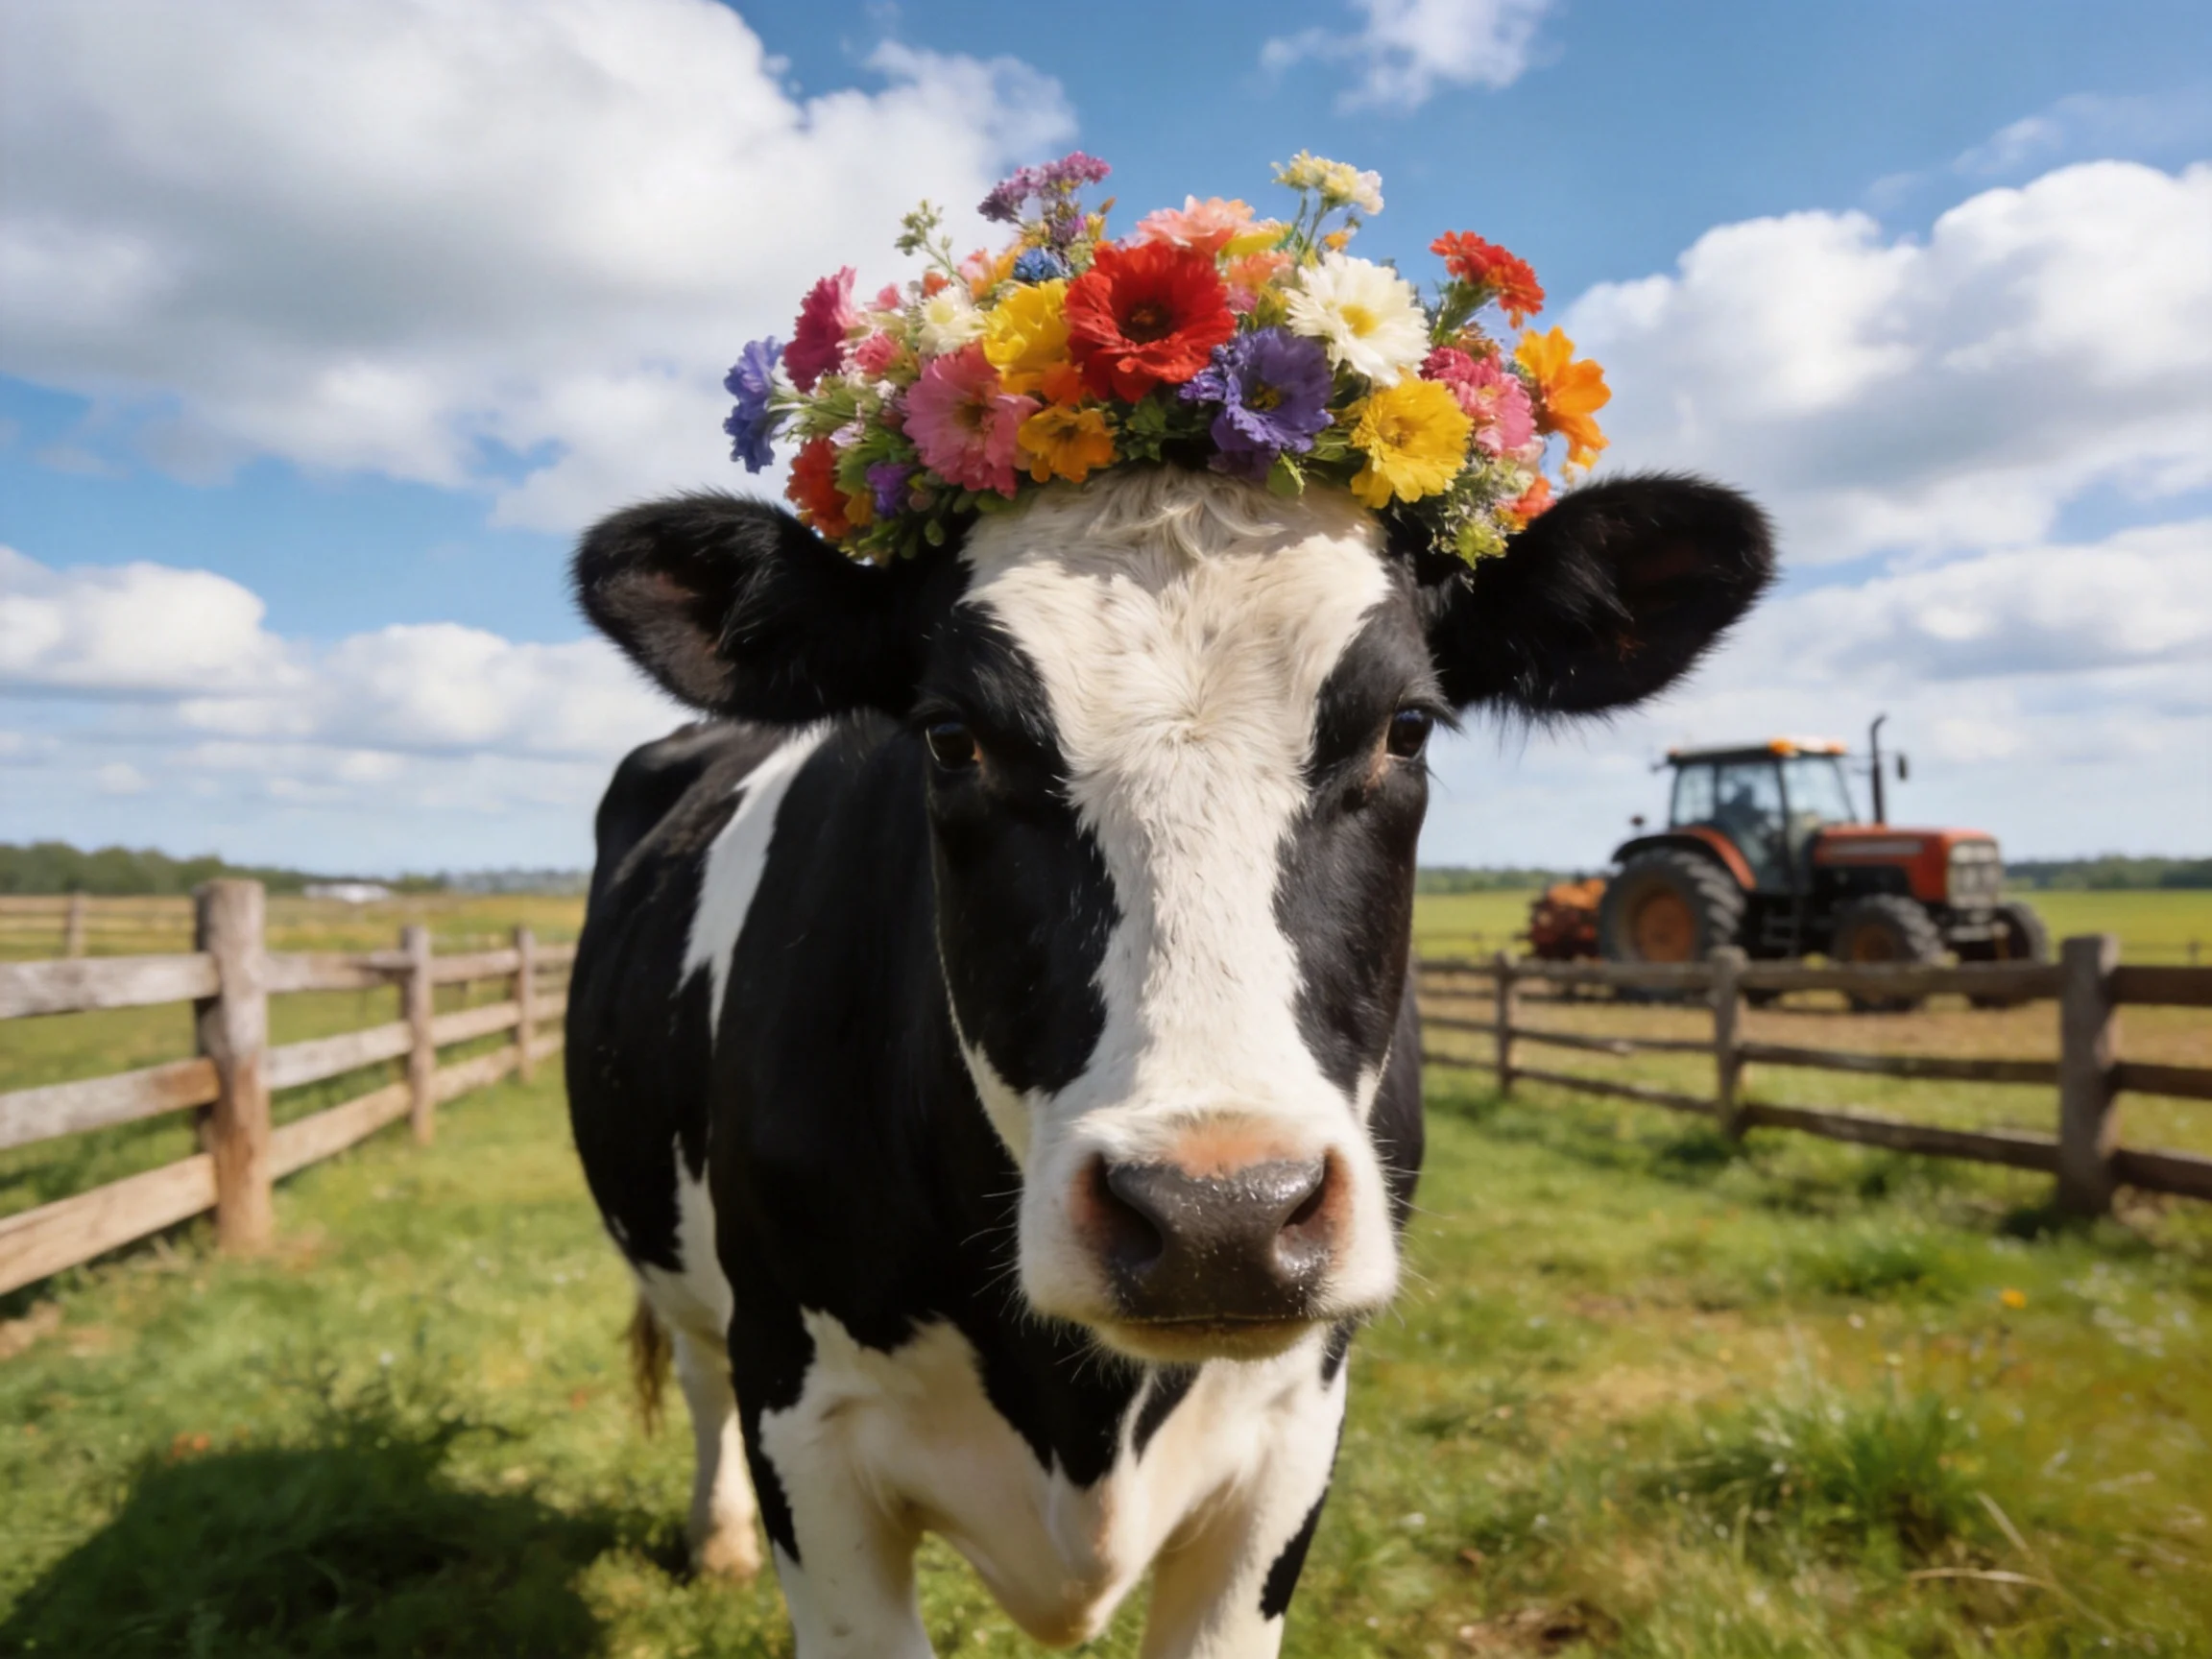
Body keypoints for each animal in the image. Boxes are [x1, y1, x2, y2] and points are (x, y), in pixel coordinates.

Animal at [565, 464, 1771, 1655]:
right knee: (699, 1370)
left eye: (1410, 728)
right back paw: (716, 1539)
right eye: (952, 737)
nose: (1218, 1218)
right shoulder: (806, 1428)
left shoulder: (1293, 1430)